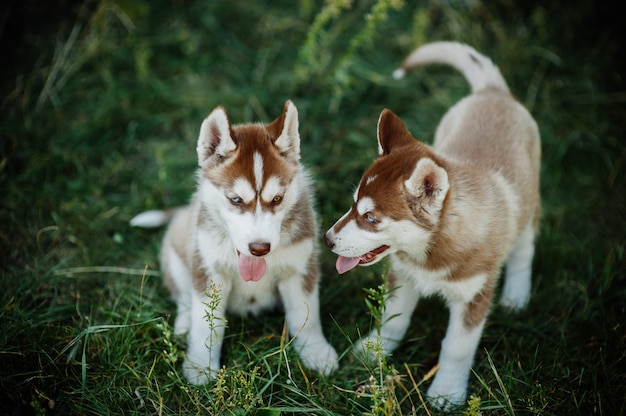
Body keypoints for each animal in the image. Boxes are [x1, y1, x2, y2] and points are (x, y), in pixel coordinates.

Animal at [130, 100, 336, 384]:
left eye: (277, 199)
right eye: (236, 200)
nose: (259, 248)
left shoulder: (300, 267)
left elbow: (307, 314)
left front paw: (316, 352)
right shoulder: (209, 272)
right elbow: (205, 325)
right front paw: (200, 365)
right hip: (177, 255)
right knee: (183, 298)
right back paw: (183, 325)